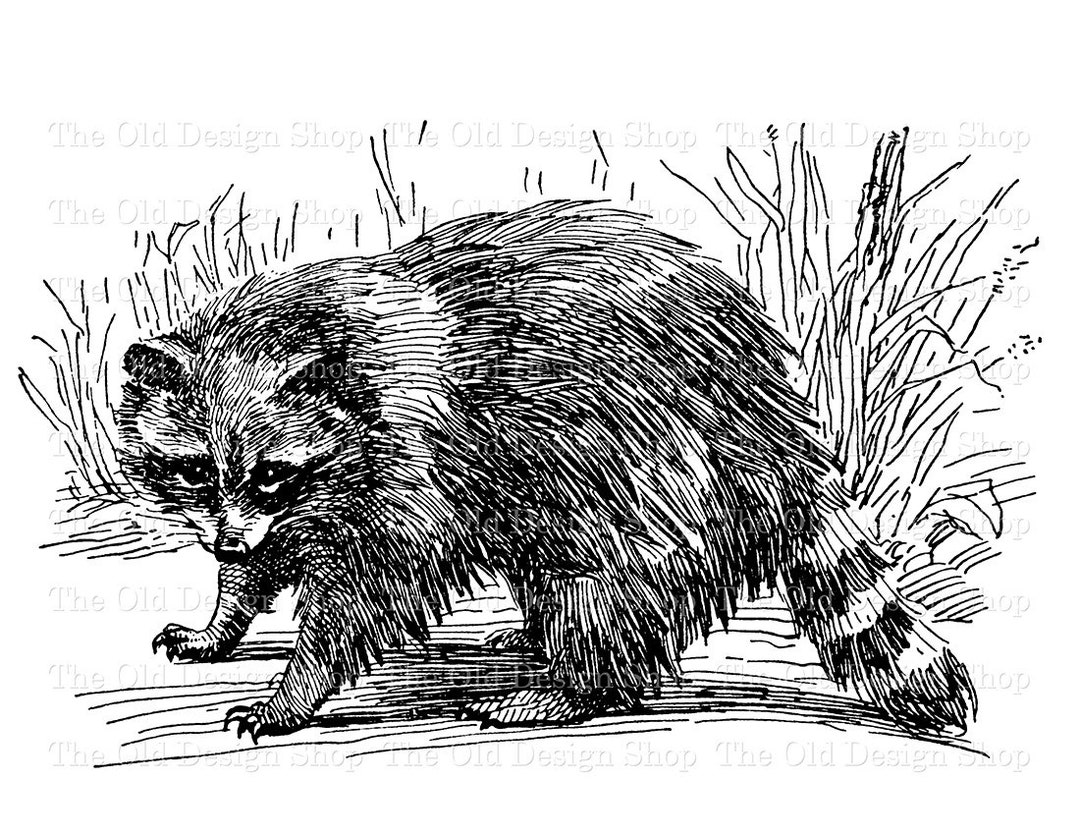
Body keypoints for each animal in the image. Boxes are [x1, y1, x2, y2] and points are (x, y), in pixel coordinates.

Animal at [116, 200, 975, 739]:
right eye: (194, 470)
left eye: (271, 472)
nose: (225, 541)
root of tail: (763, 391)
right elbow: (265, 562)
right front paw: (222, 616)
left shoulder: (406, 460)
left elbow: (364, 592)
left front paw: (296, 687)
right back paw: (533, 633)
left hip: (637, 462)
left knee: (608, 580)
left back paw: (574, 683)